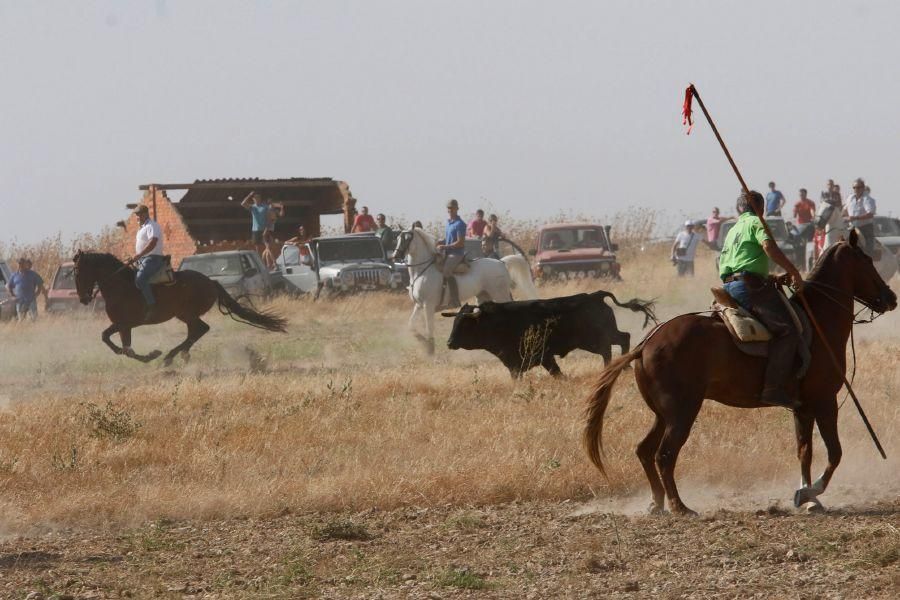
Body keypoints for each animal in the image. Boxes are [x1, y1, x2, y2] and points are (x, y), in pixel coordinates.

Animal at [77, 248, 290, 366]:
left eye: (78, 272)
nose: (82, 298)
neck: (120, 286)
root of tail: (211, 282)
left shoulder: (124, 324)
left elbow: (120, 346)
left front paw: (152, 355)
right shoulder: (122, 325)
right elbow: (116, 344)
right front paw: (151, 355)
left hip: (187, 314)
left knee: (201, 329)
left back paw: (171, 356)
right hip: (185, 315)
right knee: (196, 331)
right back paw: (181, 354)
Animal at [396, 229, 536, 352]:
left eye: (407, 238)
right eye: (398, 238)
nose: (396, 255)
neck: (422, 272)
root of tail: (501, 262)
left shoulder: (428, 305)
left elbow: (429, 328)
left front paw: (431, 350)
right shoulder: (419, 305)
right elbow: (411, 326)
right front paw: (424, 345)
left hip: (500, 294)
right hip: (483, 296)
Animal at [446, 292, 656, 380]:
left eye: (464, 324)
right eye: (454, 322)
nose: (449, 343)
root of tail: (595, 295)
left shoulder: (544, 355)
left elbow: (556, 372)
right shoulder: (514, 363)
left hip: (594, 340)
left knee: (617, 343)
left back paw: (618, 368)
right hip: (597, 338)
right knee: (620, 340)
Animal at [580, 232, 896, 512]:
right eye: (867, 260)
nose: (891, 297)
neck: (817, 322)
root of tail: (646, 344)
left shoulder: (803, 407)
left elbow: (804, 451)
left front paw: (807, 499)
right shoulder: (825, 401)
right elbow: (834, 453)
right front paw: (812, 492)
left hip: (663, 414)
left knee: (645, 451)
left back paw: (657, 503)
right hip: (682, 412)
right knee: (665, 454)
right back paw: (680, 506)